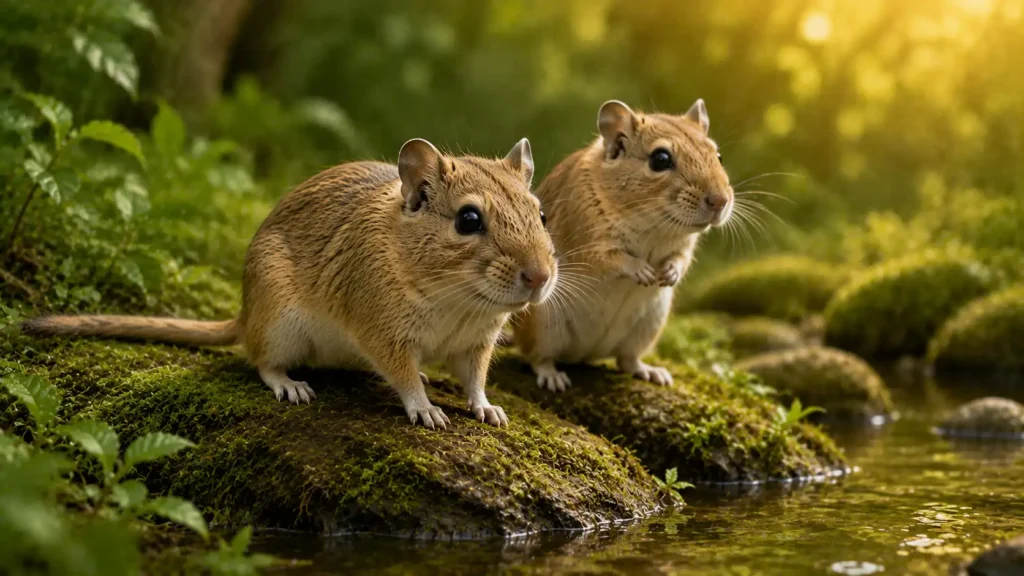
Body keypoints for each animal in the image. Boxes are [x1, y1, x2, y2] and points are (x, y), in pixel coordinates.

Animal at [24, 138, 557, 429]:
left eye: (542, 215)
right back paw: (290, 384)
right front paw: (425, 409)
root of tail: (244, 314)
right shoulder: (382, 332)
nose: (541, 277)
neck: (458, 300)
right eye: (468, 220)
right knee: (260, 360)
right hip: (281, 324)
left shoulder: (476, 344)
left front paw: (487, 409)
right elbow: (402, 377)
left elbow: (475, 381)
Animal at [513, 99, 732, 391]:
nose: (720, 201)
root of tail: (584, 354)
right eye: (660, 159)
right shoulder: (590, 243)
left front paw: (668, 274)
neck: (654, 226)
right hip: (543, 325)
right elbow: (615, 259)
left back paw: (651, 372)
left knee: (626, 360)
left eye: (718, 156)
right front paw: (643, 271)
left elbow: (680, 260)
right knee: (538, 357)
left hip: (646, 328)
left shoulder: (684, 247)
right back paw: (553, 377)